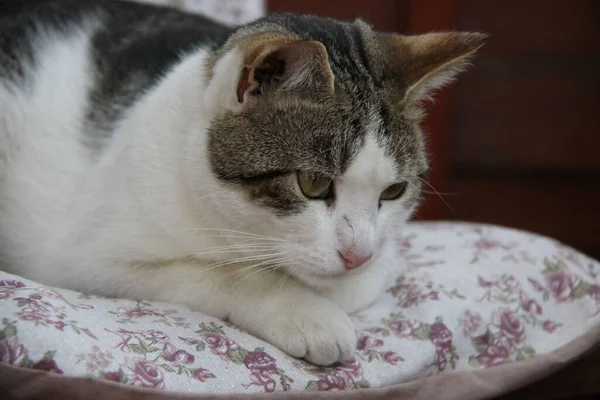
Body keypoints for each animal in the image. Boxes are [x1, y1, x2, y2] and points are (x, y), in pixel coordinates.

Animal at [0, 0, 486, 364]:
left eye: (393, 191)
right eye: (312, 183)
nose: (356, 255)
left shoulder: (381, 259)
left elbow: (363, 281)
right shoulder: (84, 256)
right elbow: (226, 273)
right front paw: (304, 309)